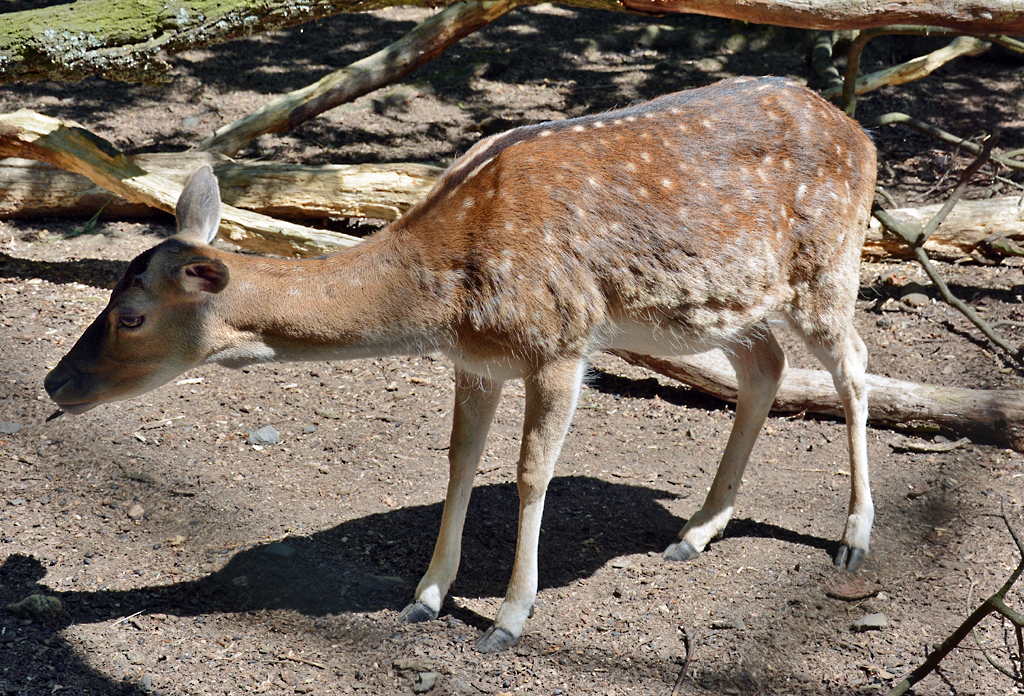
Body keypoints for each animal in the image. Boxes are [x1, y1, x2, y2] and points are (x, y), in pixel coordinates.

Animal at [44, 76, 872, 650]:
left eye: (131, 316)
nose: (55, 380)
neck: (451, 287)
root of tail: (857, 131)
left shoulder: (560, 342)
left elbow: (530, 473)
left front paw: (508, 619)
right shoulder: (475, 361)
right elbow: (459, 460)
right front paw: (424, 596)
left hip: (828, 264)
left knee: (854, 367)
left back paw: (853, 539)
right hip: (714, 307)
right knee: (763, 365)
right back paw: (696, 531)